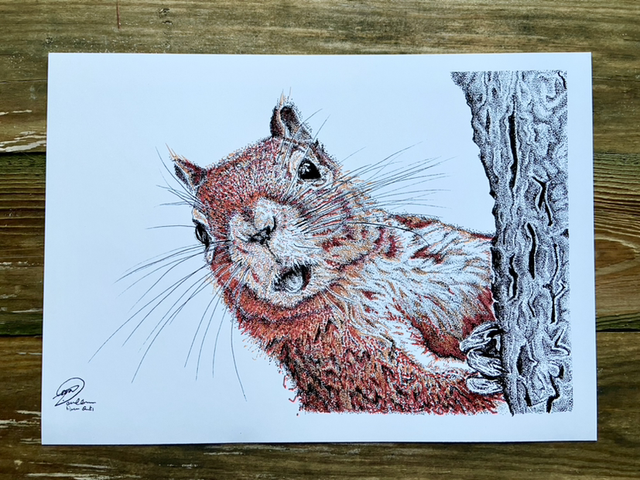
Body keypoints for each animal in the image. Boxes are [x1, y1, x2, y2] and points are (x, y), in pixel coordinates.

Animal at [172, 97, 504, 414]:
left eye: (308, 169)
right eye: (200, 233)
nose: (257, 230)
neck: (364, 272)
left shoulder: (450, 253)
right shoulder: (353, 356)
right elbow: (426, 388)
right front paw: (488, 368)